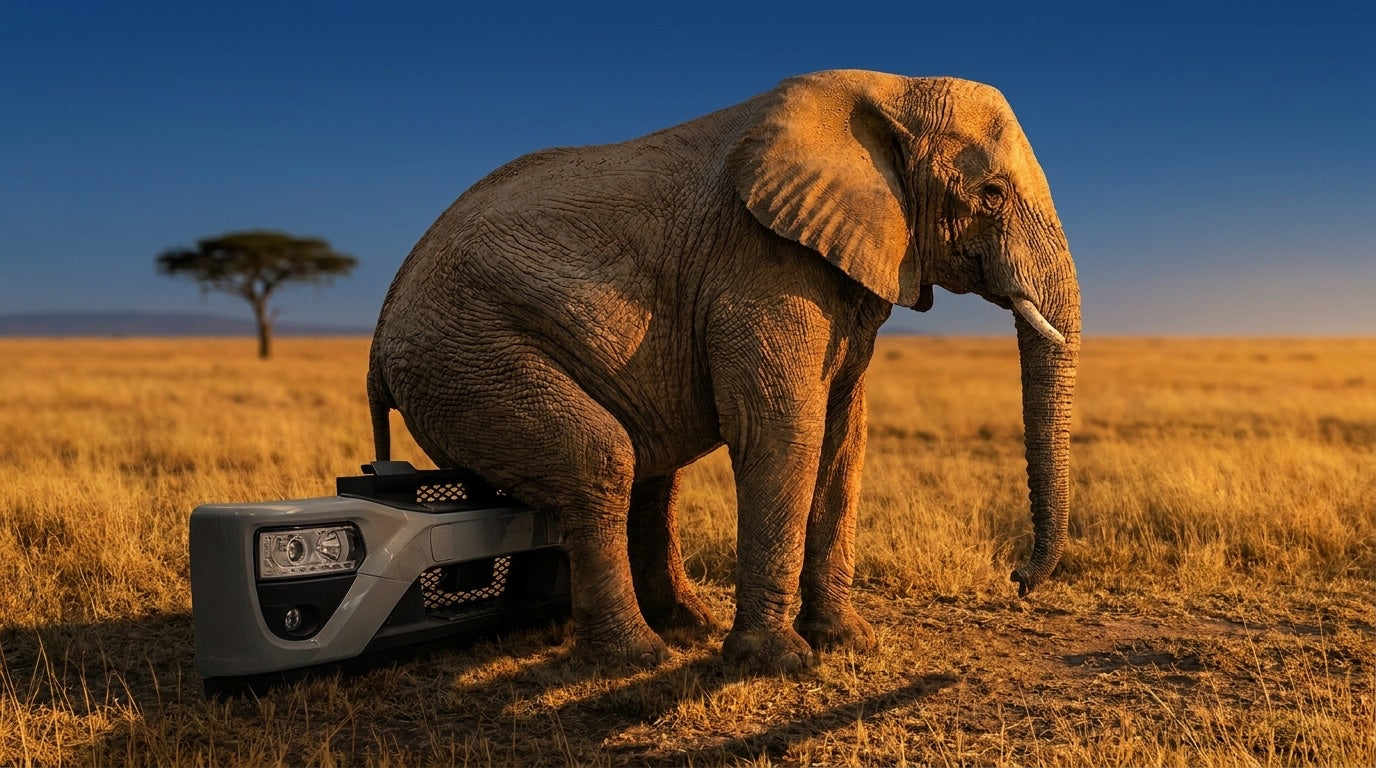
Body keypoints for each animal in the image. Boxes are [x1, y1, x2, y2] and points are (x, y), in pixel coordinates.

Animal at [367, 69, 1080, 671]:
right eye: (991, 194)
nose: (1017, 581)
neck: (891, 88)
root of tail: (379, 336)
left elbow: (844, 438)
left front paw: (848, 642)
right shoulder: (761, 263)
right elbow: (782, 428)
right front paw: (780, 663)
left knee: (652, 470)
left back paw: (688, 627)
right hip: (465, 356)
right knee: (602, 460)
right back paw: (640, 657)